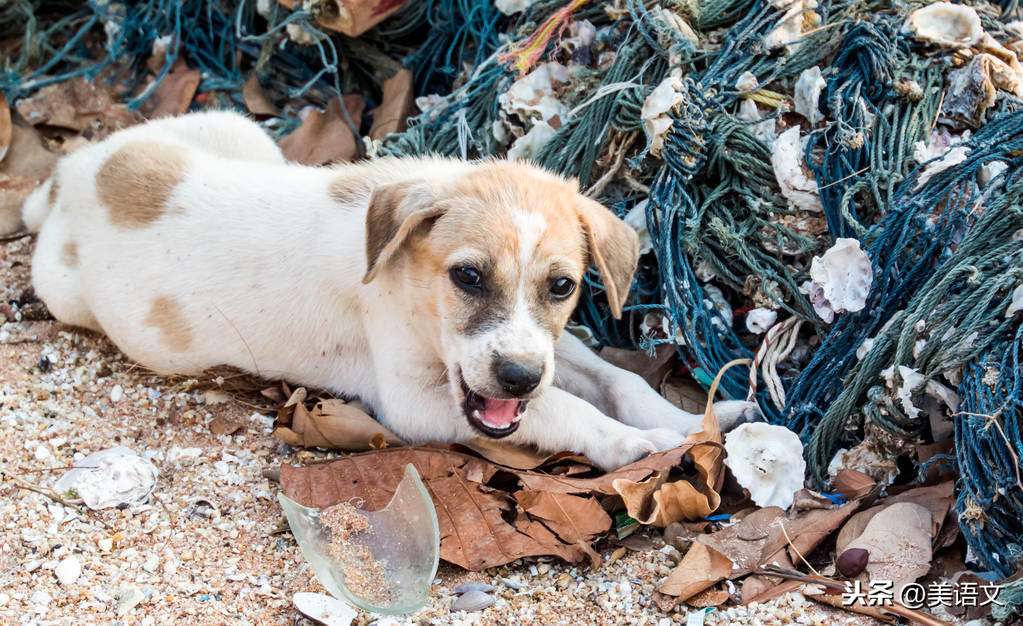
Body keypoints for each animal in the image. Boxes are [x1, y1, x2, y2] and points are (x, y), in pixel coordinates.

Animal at [25, 111, 761, 470]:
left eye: (561, 286)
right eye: (467, 276)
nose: (517, 377)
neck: (407, 285)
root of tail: (74, 170)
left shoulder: (545, 348)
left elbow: (616, 379)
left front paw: (695, 421)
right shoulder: (413, 403)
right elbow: (563, 409)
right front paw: (636, 446)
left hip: (239, 129)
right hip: (63, 289)